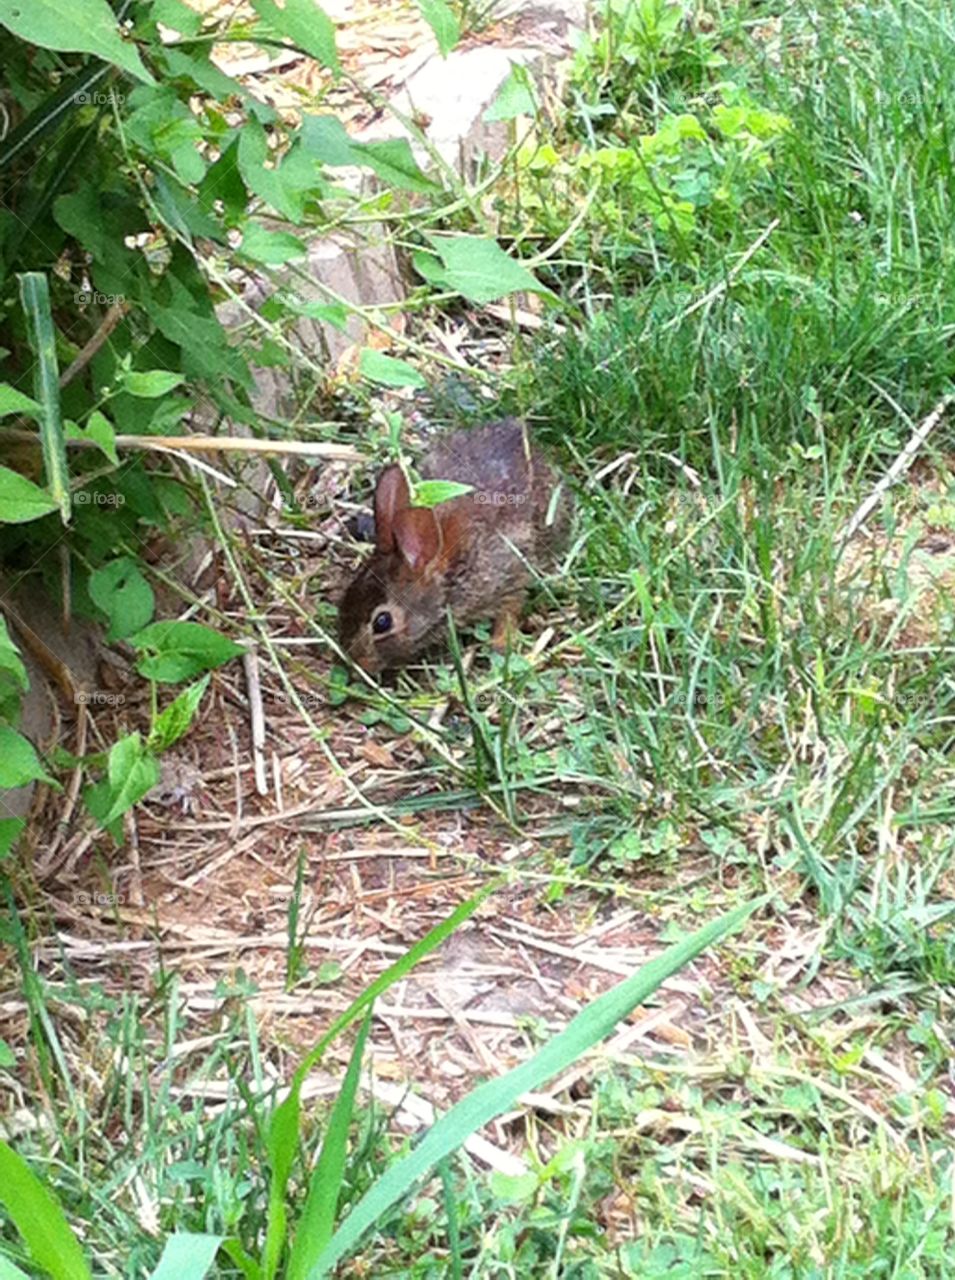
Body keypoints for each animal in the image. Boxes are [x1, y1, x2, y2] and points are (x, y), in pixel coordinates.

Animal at [338, 418, 572, 672]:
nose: (355, 662)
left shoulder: (510, 573)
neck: (449, 571)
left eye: (382, 622)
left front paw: (499, 645)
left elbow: (511, 609)